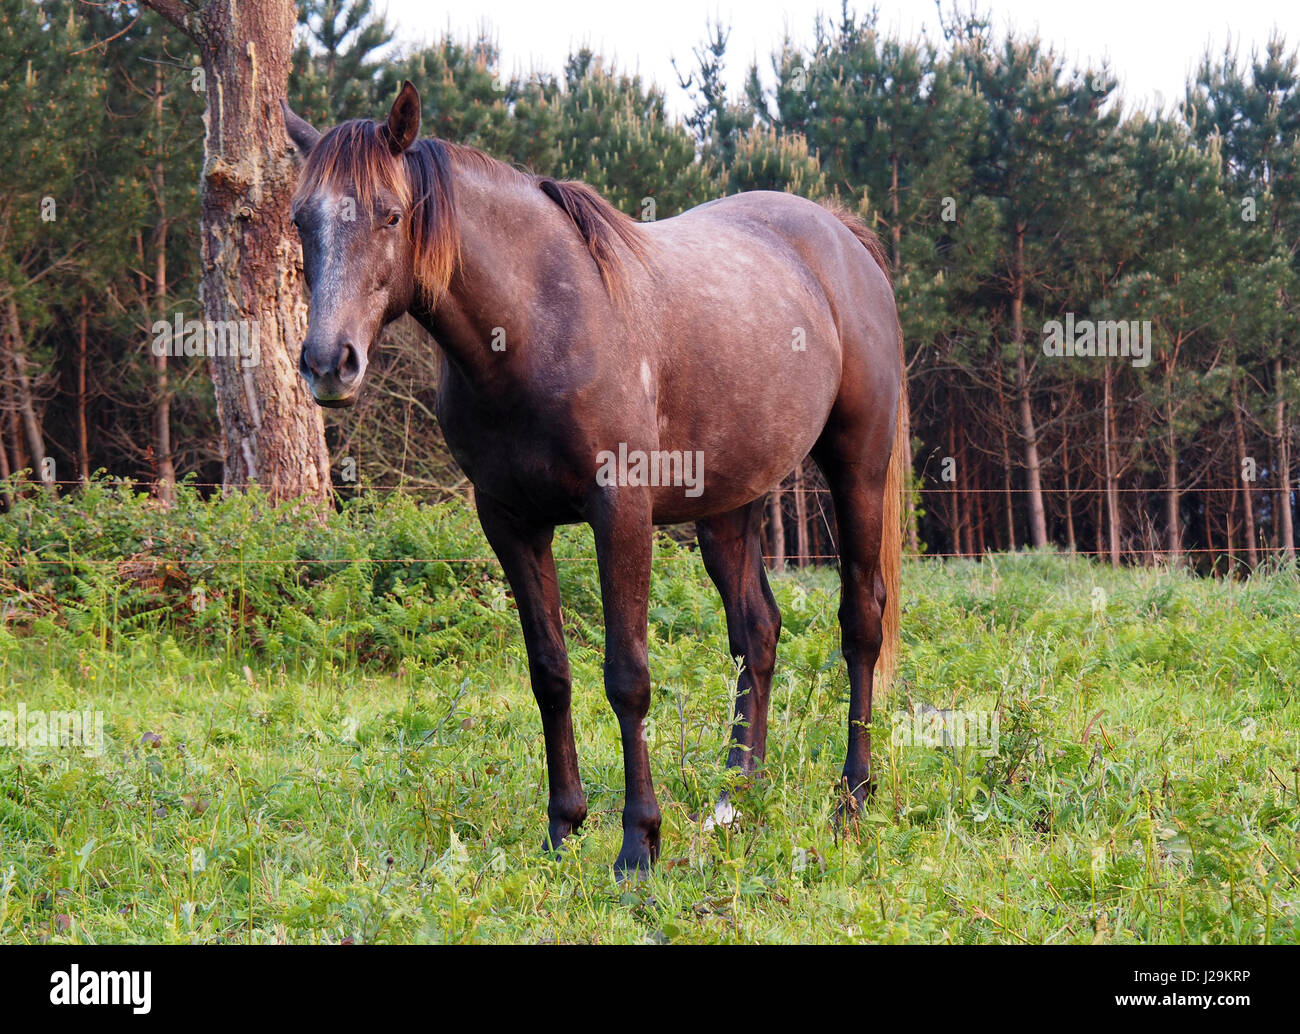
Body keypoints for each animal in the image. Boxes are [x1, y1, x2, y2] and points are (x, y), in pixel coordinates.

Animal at [281, 81, 907, 877]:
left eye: (390, 213)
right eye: (301, 220)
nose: (328, 364)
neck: (541, 325)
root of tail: (842, 238)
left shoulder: (622, 514)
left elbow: (627, 677)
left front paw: (638, 843)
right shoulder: (510, 522)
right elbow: (549, 672)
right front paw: (563, 825)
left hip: (858, 469)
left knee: (861, 623)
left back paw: (851, 798)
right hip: (730, 504)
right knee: (757, 634)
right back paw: (735, 801)